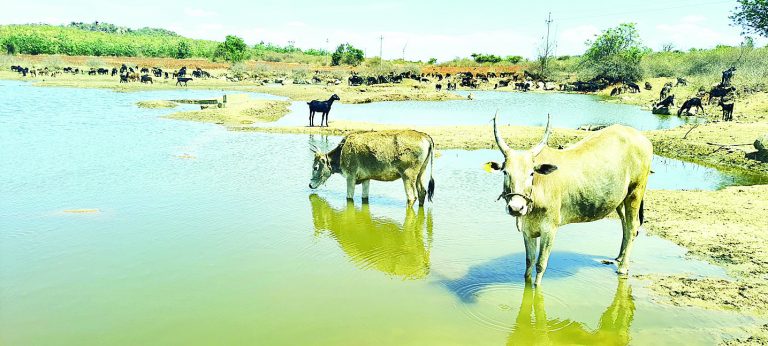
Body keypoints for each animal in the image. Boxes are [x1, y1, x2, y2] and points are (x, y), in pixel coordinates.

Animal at [308, 129, 438, 205]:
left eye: (315, 167)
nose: (310, 185)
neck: (342, 151)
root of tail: (424, 135)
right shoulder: (366, 178)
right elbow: (365, 197)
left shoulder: (350, 177)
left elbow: (349, 197)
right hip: (420, 174)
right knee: (422, 192)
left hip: (407, 176)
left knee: (411, 197)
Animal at [488, 113, 652, 284]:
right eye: (505, 172)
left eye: (531, 173)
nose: (516, 207)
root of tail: (641, 138)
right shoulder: (527, 232)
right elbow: (529, 263)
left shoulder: (550, 230)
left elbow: (540, 265)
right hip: (620, 199)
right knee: (625, 225)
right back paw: (619, 257)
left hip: (635, 192)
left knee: (633, 226)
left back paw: (623, 267)